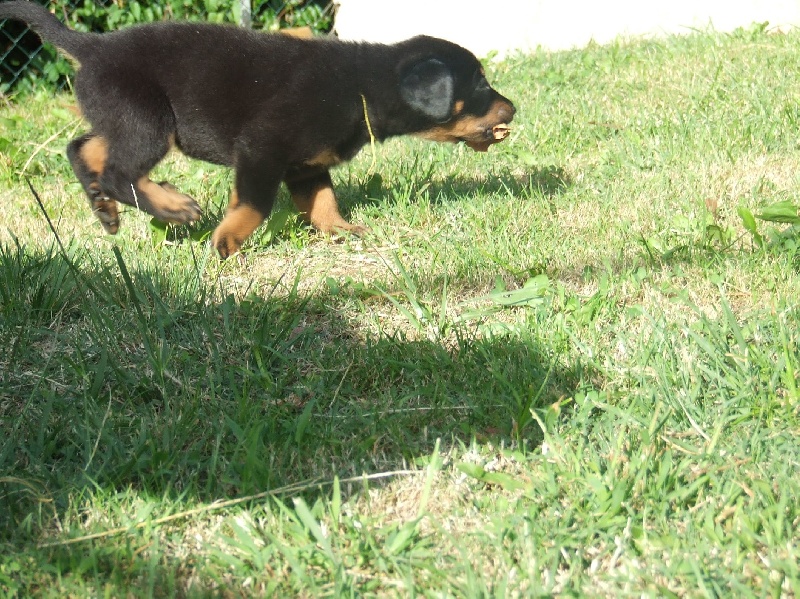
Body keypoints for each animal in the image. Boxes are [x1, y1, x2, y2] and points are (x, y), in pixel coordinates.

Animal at [0, 1, 516, 258]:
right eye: (480, 82)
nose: (513, 107)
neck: (360, 88)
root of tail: (92, 47)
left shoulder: (306, 164)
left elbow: (323, 202)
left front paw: (342, 231)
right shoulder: (262, 149)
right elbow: (255, 205)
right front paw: (226, 243)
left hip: (119, 116)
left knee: (83, 148)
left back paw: (104, 209)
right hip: (148, 118)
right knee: (117, 170)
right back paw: (171, 207)